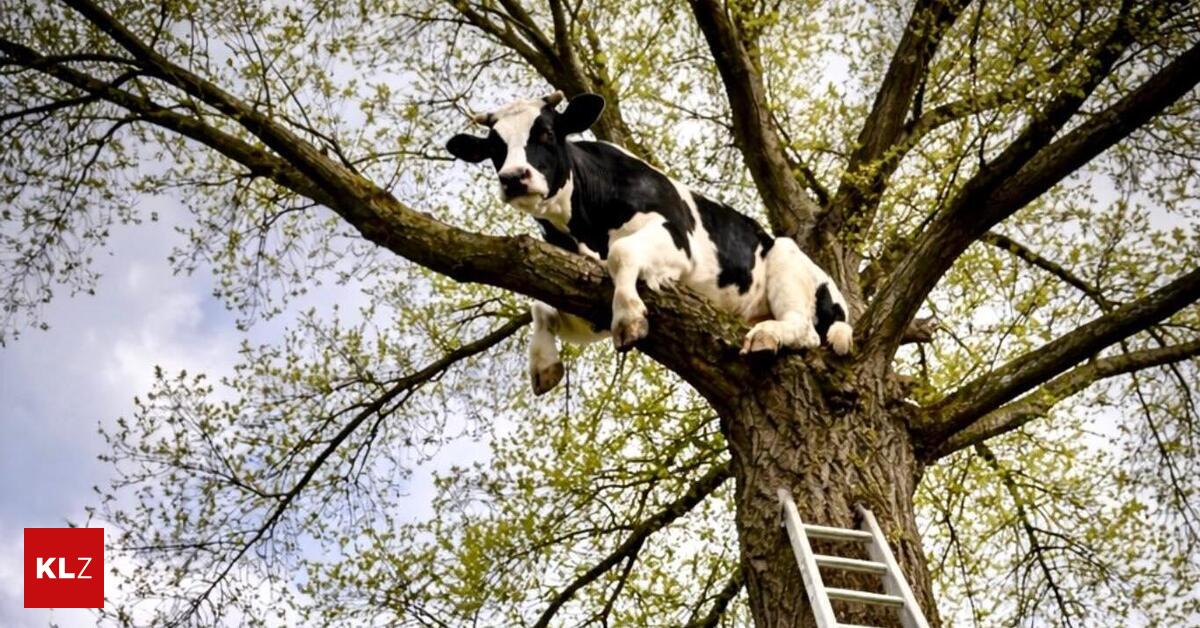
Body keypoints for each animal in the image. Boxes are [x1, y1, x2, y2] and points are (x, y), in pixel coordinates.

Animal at [445, 90, 852, 395]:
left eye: (545, 132)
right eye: (494, 148)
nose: (514, 177)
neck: (584, 231)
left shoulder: (676, 240)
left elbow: (622, 252)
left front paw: (630, 317)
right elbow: (540, 307)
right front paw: (544, 363)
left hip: (786, 255)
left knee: (804, 328)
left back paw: (768, 335)